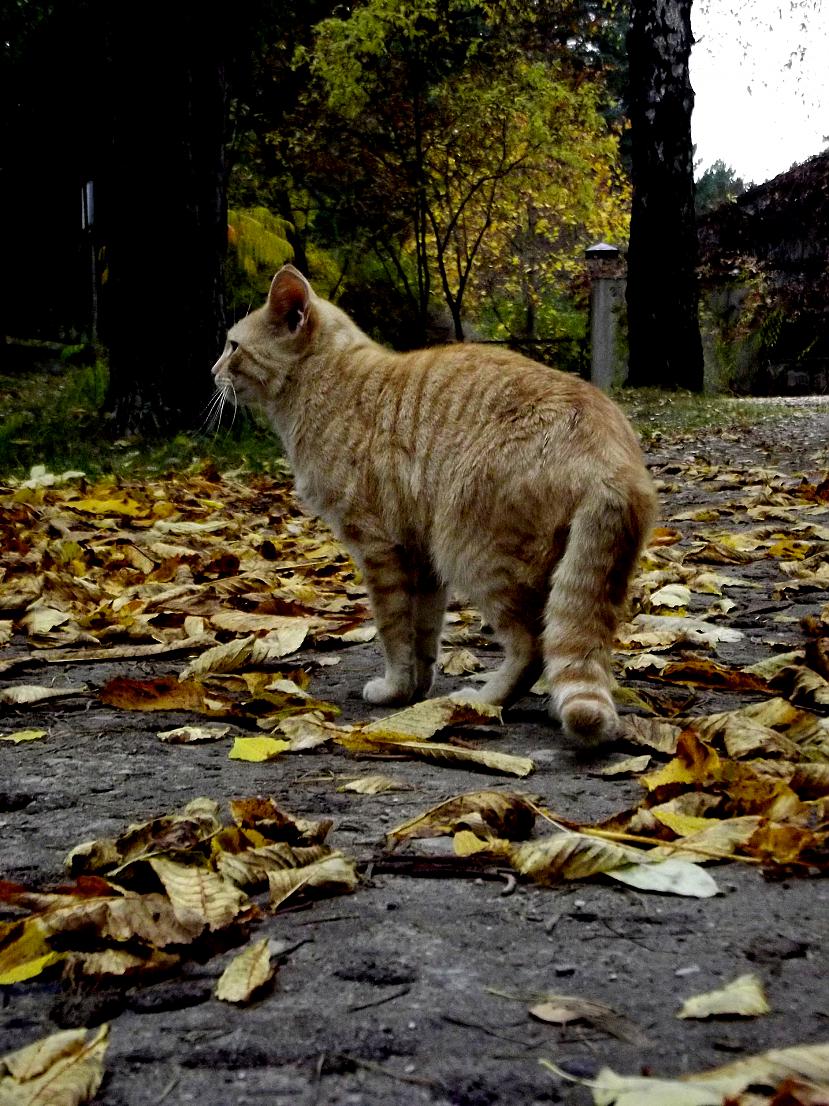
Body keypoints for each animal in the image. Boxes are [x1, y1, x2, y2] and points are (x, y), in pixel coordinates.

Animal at [212, 265, 654, 743]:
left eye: (233, 346)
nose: (212, 371)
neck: (327, 382)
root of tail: (614, 460)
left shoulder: (378, 549)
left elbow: (393, 630)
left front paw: (394, 689)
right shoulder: (420, 557)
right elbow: (422, 635)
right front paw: (416, 689)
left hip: (474, 552)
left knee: (533, 646)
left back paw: (482, 700)